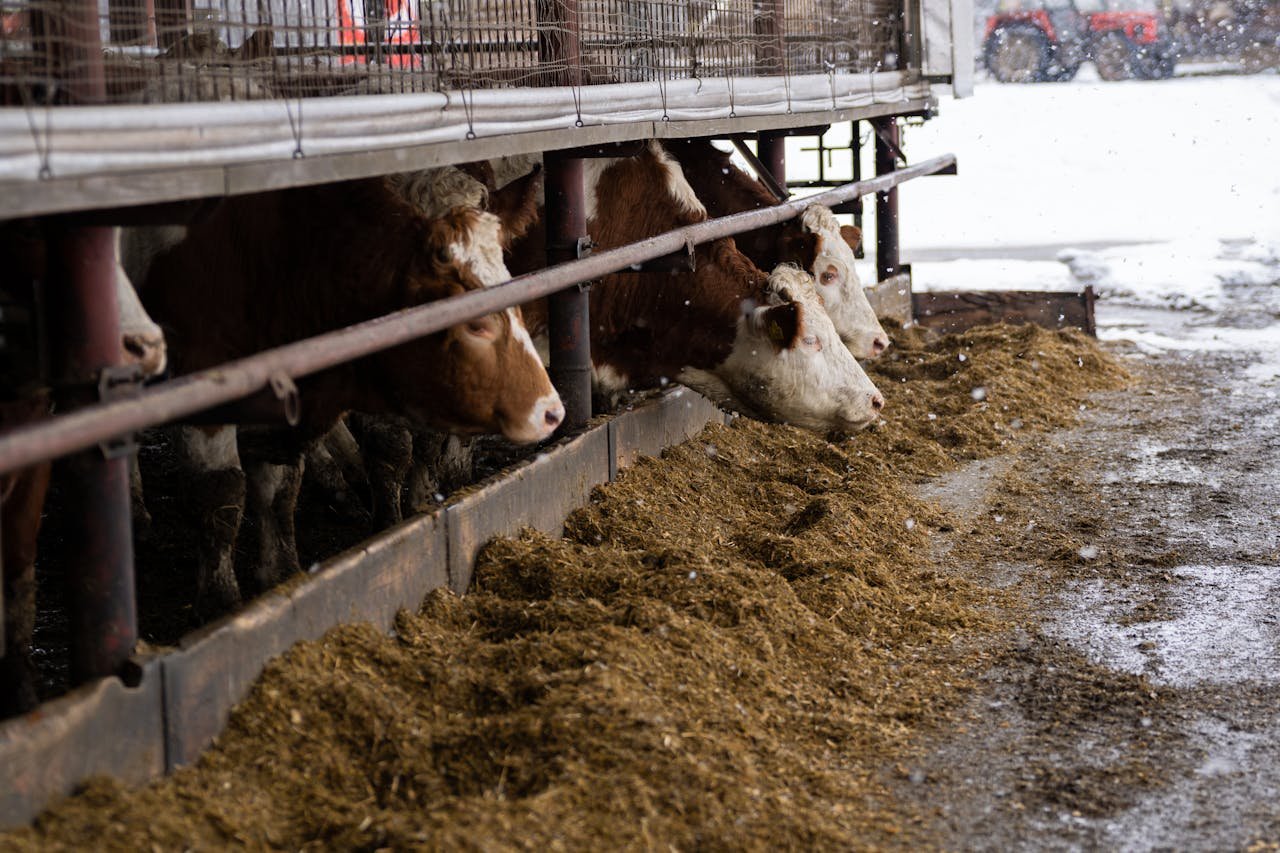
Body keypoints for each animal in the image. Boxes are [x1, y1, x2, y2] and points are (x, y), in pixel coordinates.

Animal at [136, 176, 561, 611]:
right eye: (475, 324)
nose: (550, 410)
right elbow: (220, 492)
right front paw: (222, 603)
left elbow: (280, 490)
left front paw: (283, 578)